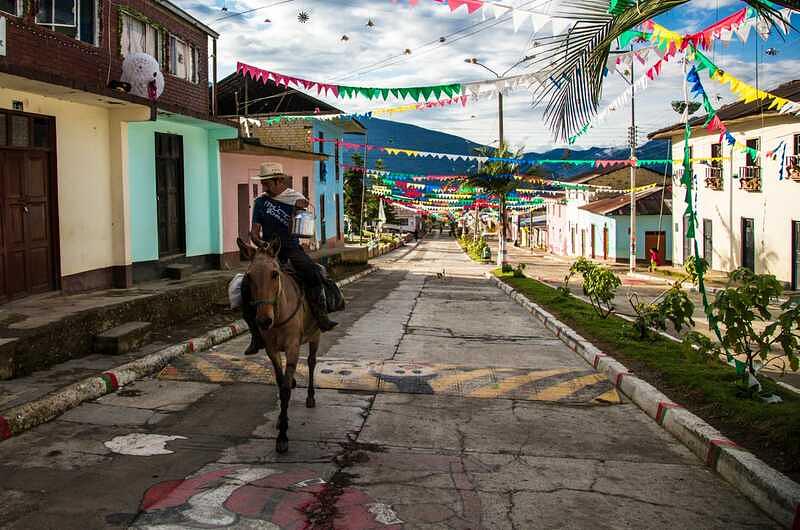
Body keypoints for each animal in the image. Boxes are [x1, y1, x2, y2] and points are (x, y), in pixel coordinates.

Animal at [236, 237, 320, 452]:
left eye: (274, 274)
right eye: (249, 276)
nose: (264, 321)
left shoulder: (292, 348)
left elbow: (285, 390)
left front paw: (282, 436)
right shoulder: (272, 350)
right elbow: (280, 381)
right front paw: (282, 421)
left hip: (315, 336)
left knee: (311, 362)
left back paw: (310, 397)